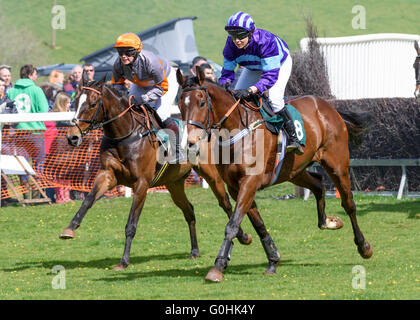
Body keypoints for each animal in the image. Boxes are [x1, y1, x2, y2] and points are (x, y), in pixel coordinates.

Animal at [58, 75, 253, 270]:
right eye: (76, 102)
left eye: (92, 104)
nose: (72, 136)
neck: (125, 135)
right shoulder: (107, 174)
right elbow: (88, 199)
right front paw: (69, 228)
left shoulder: (141, 184)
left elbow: (131, 224)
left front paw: (124, 261)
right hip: (174, 184)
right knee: (189, 210)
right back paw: (195, 250)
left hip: (211, 175)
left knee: (226, 204)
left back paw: (243, 237)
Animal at [176, 66, 372, 282]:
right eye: (180, 104)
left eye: (202, 102)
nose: (190, 142)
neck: (239, 131)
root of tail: (328, 107)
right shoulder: (236, 187)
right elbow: (258, 224)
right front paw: (273, 259)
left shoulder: (250, 182)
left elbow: (233, 224)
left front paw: (217, 267)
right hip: (294, 170)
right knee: (318, 184)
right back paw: (327, 222)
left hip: (337, 164)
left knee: (348, 203)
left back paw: (363, 246)